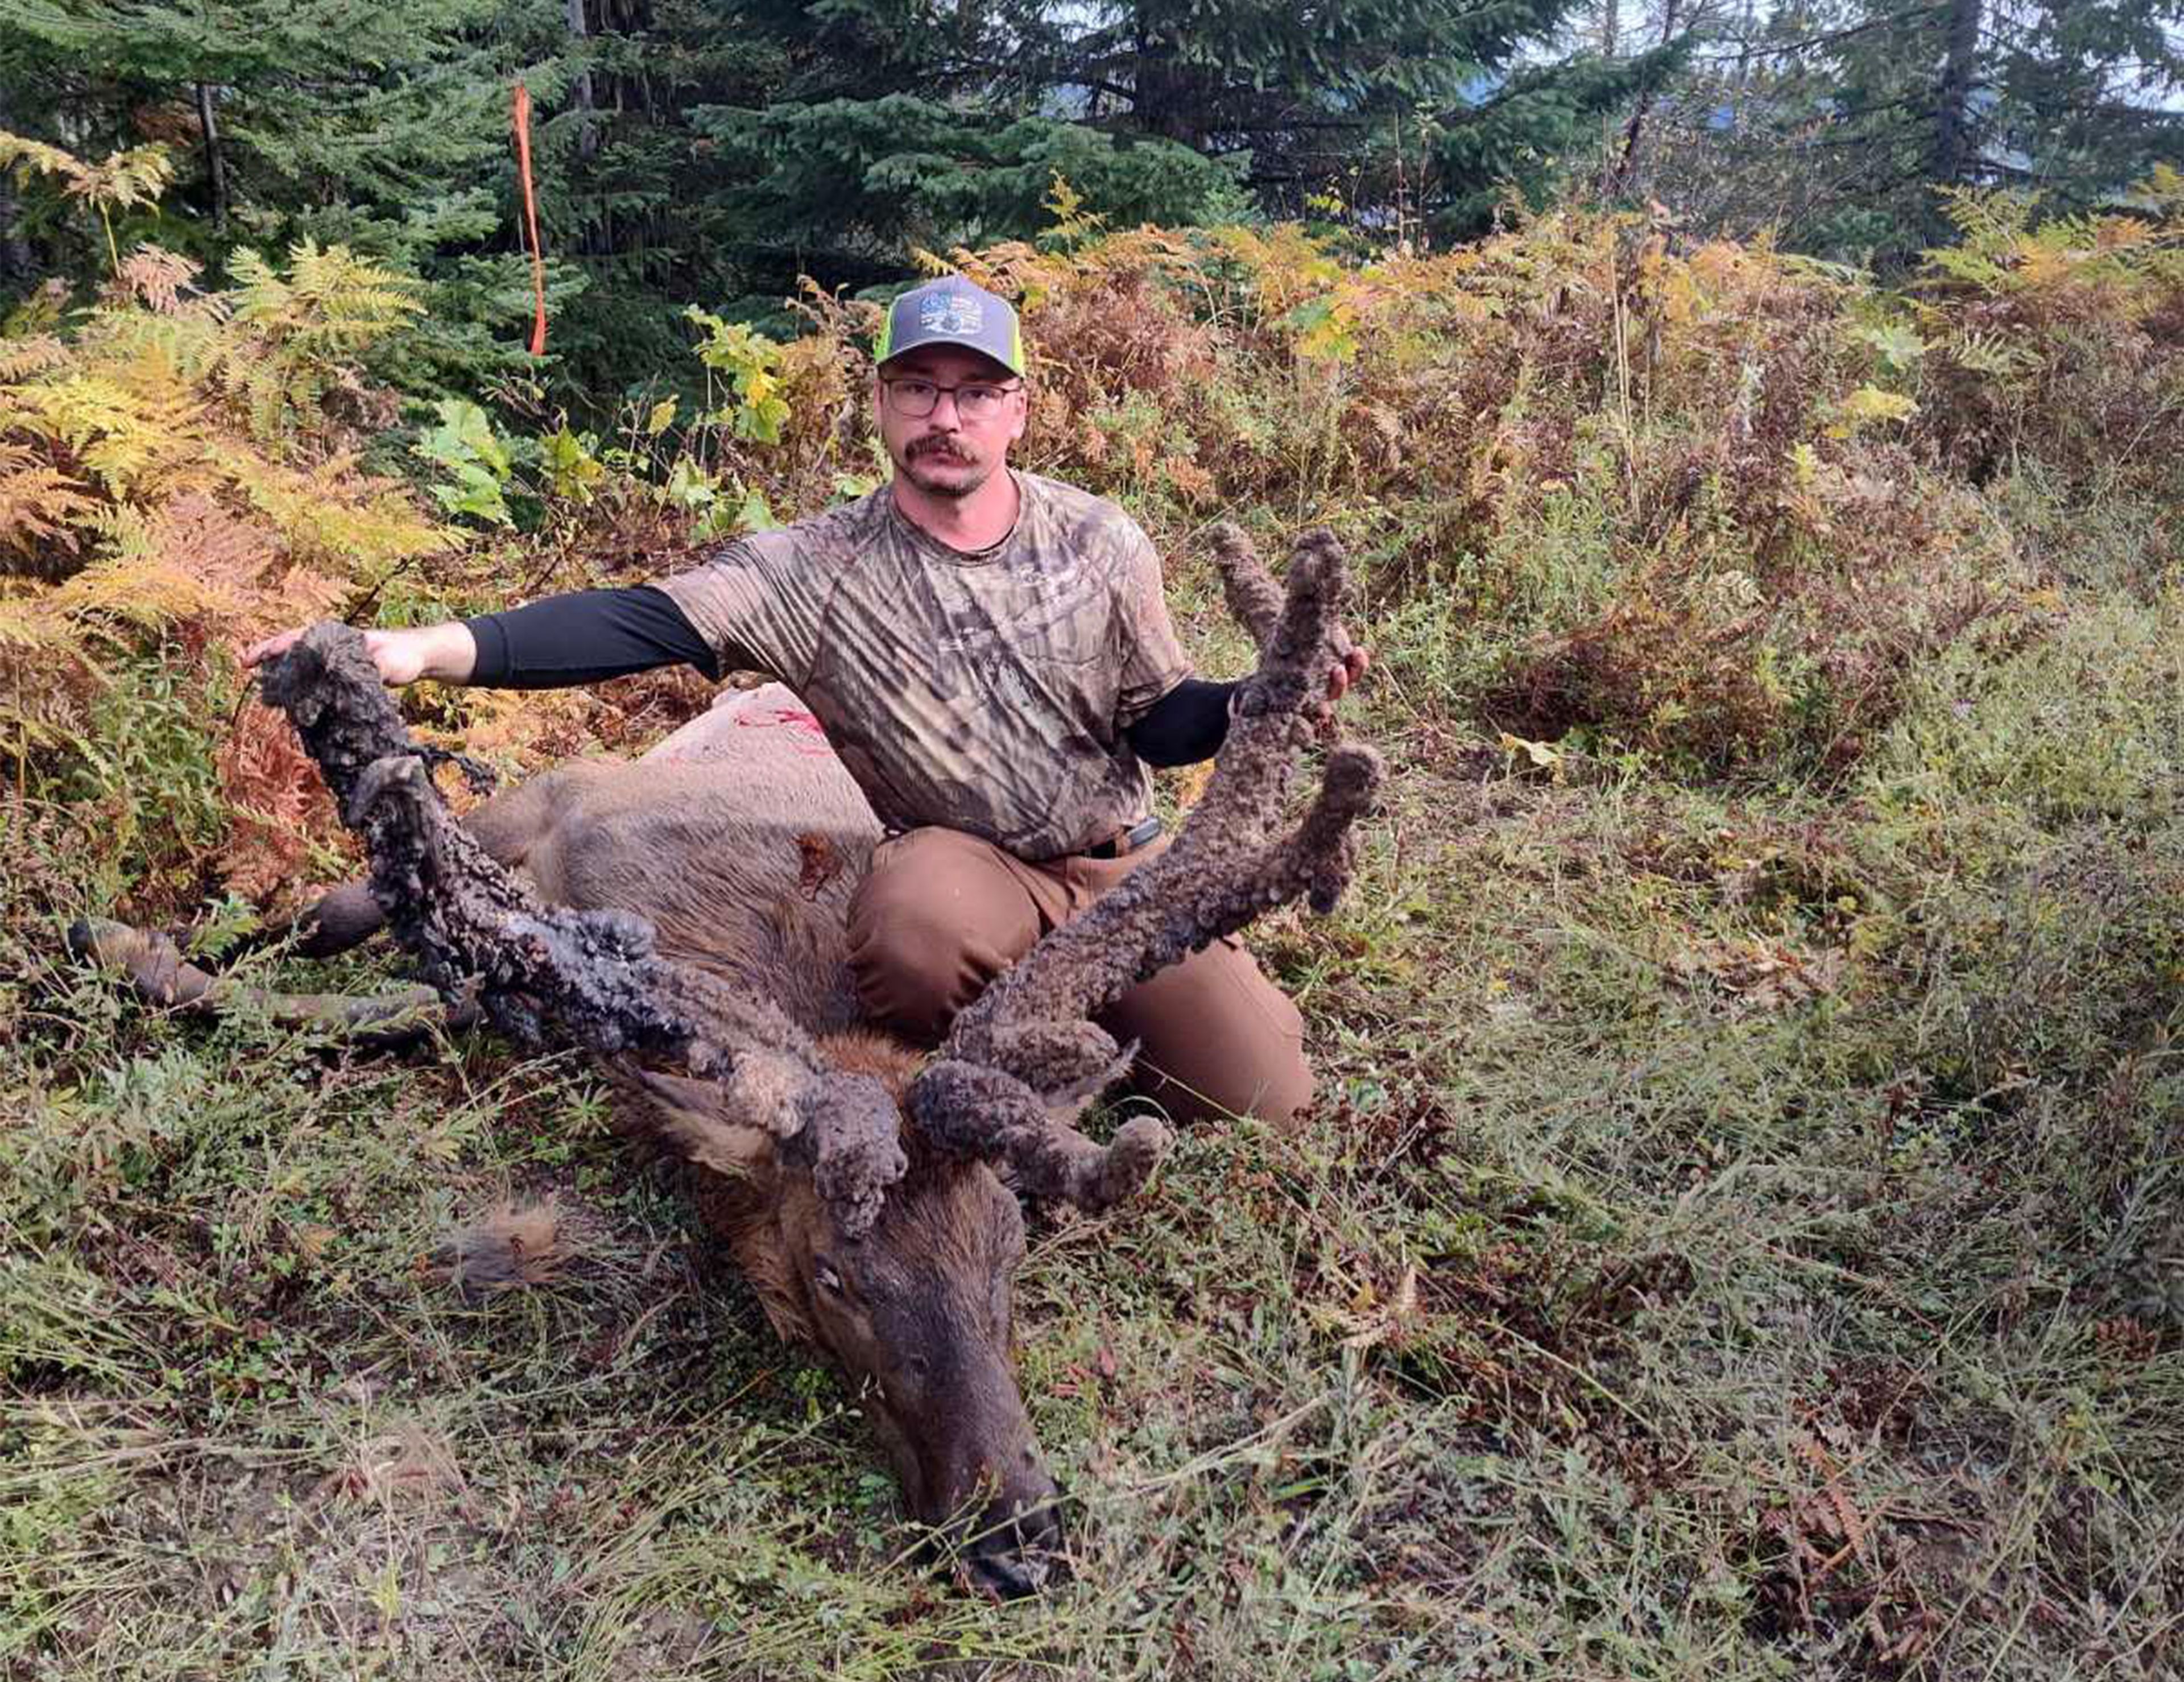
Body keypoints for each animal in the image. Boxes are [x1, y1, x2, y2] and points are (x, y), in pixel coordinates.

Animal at [73, 526, 1383, 1598]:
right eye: (836, 1274)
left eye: (1010, 1245)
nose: (1019, 1540)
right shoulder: (552, 808)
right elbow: (332, 925)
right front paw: (129, 943)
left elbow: (395, 1000)